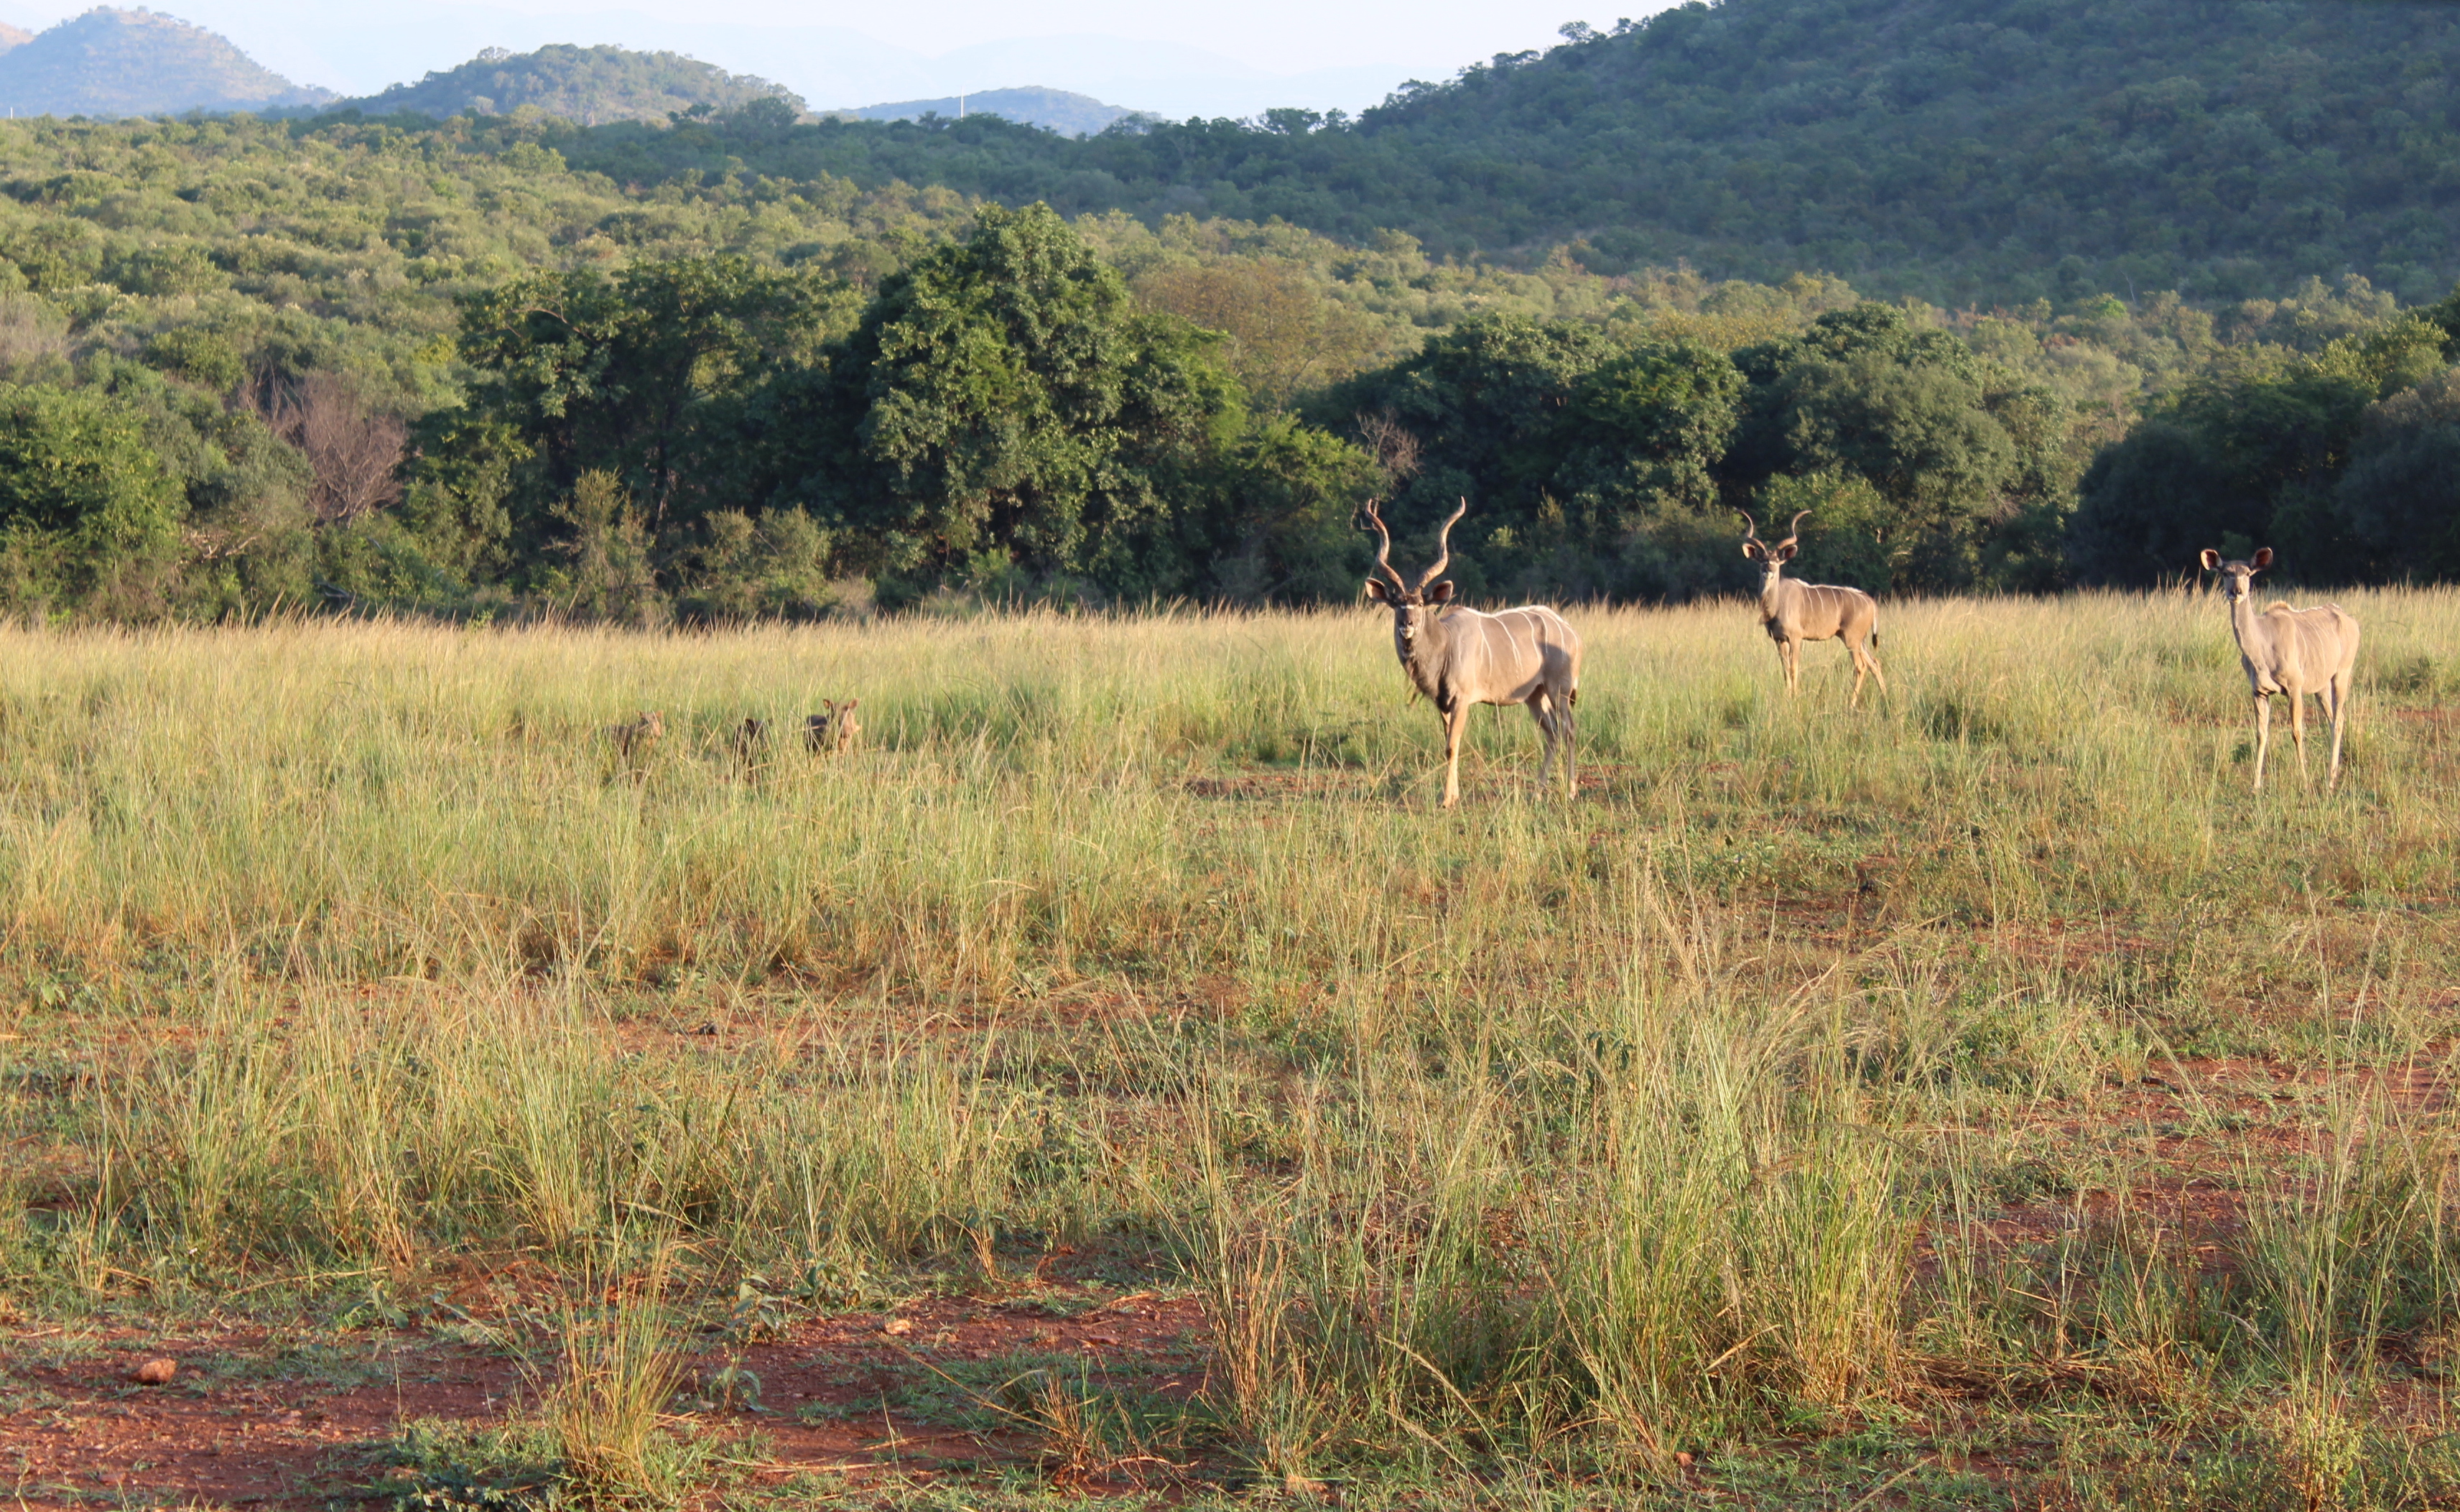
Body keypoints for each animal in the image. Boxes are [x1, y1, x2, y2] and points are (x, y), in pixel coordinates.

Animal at [1361, 499, 1581, 808]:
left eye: (1420, 604)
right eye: (1396, 604)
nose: (1407, 625)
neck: (1445, 644)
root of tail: (1570, 631)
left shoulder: (1462, 700)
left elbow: (1452, 746)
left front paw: (1446, 800)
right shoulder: (1442, 704)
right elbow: (1448, 745)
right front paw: (1451, 796)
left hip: (1558, 689)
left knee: (1569, 729)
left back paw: (1571, 791)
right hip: (1535, 696)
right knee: (1551, 734)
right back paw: (1537, 792)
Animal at [1739, 510, 1885, 705]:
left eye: (1777, 560)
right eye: (1762, 560)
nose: (1768, 570)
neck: (1777, 604)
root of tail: (1871, 602)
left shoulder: (1795, 637)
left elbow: (1794, 668)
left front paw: (1794, 698)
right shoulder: (1779, 640)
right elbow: (1785, 670)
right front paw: (1787, 696)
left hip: (1851, 639)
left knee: (1860, 666)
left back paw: (1850, 704)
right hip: (1858, 640)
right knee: (1875, 663)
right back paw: (1885, 697)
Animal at [2199, 547, 2359, 792]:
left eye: (2248, 573)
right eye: (2226, 573)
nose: (2236, 592)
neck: (2263, 646)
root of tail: (2351, 621)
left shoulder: (2295, 688)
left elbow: (2297, 732)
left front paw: (2304, 781)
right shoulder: (2259, 692)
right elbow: (2261, 733)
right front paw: (2256, 785)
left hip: (2342, 674)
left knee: (2339, 720)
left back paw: (2331, 780)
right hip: (2321, 687)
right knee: (2333, 719)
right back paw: (2331, 775)